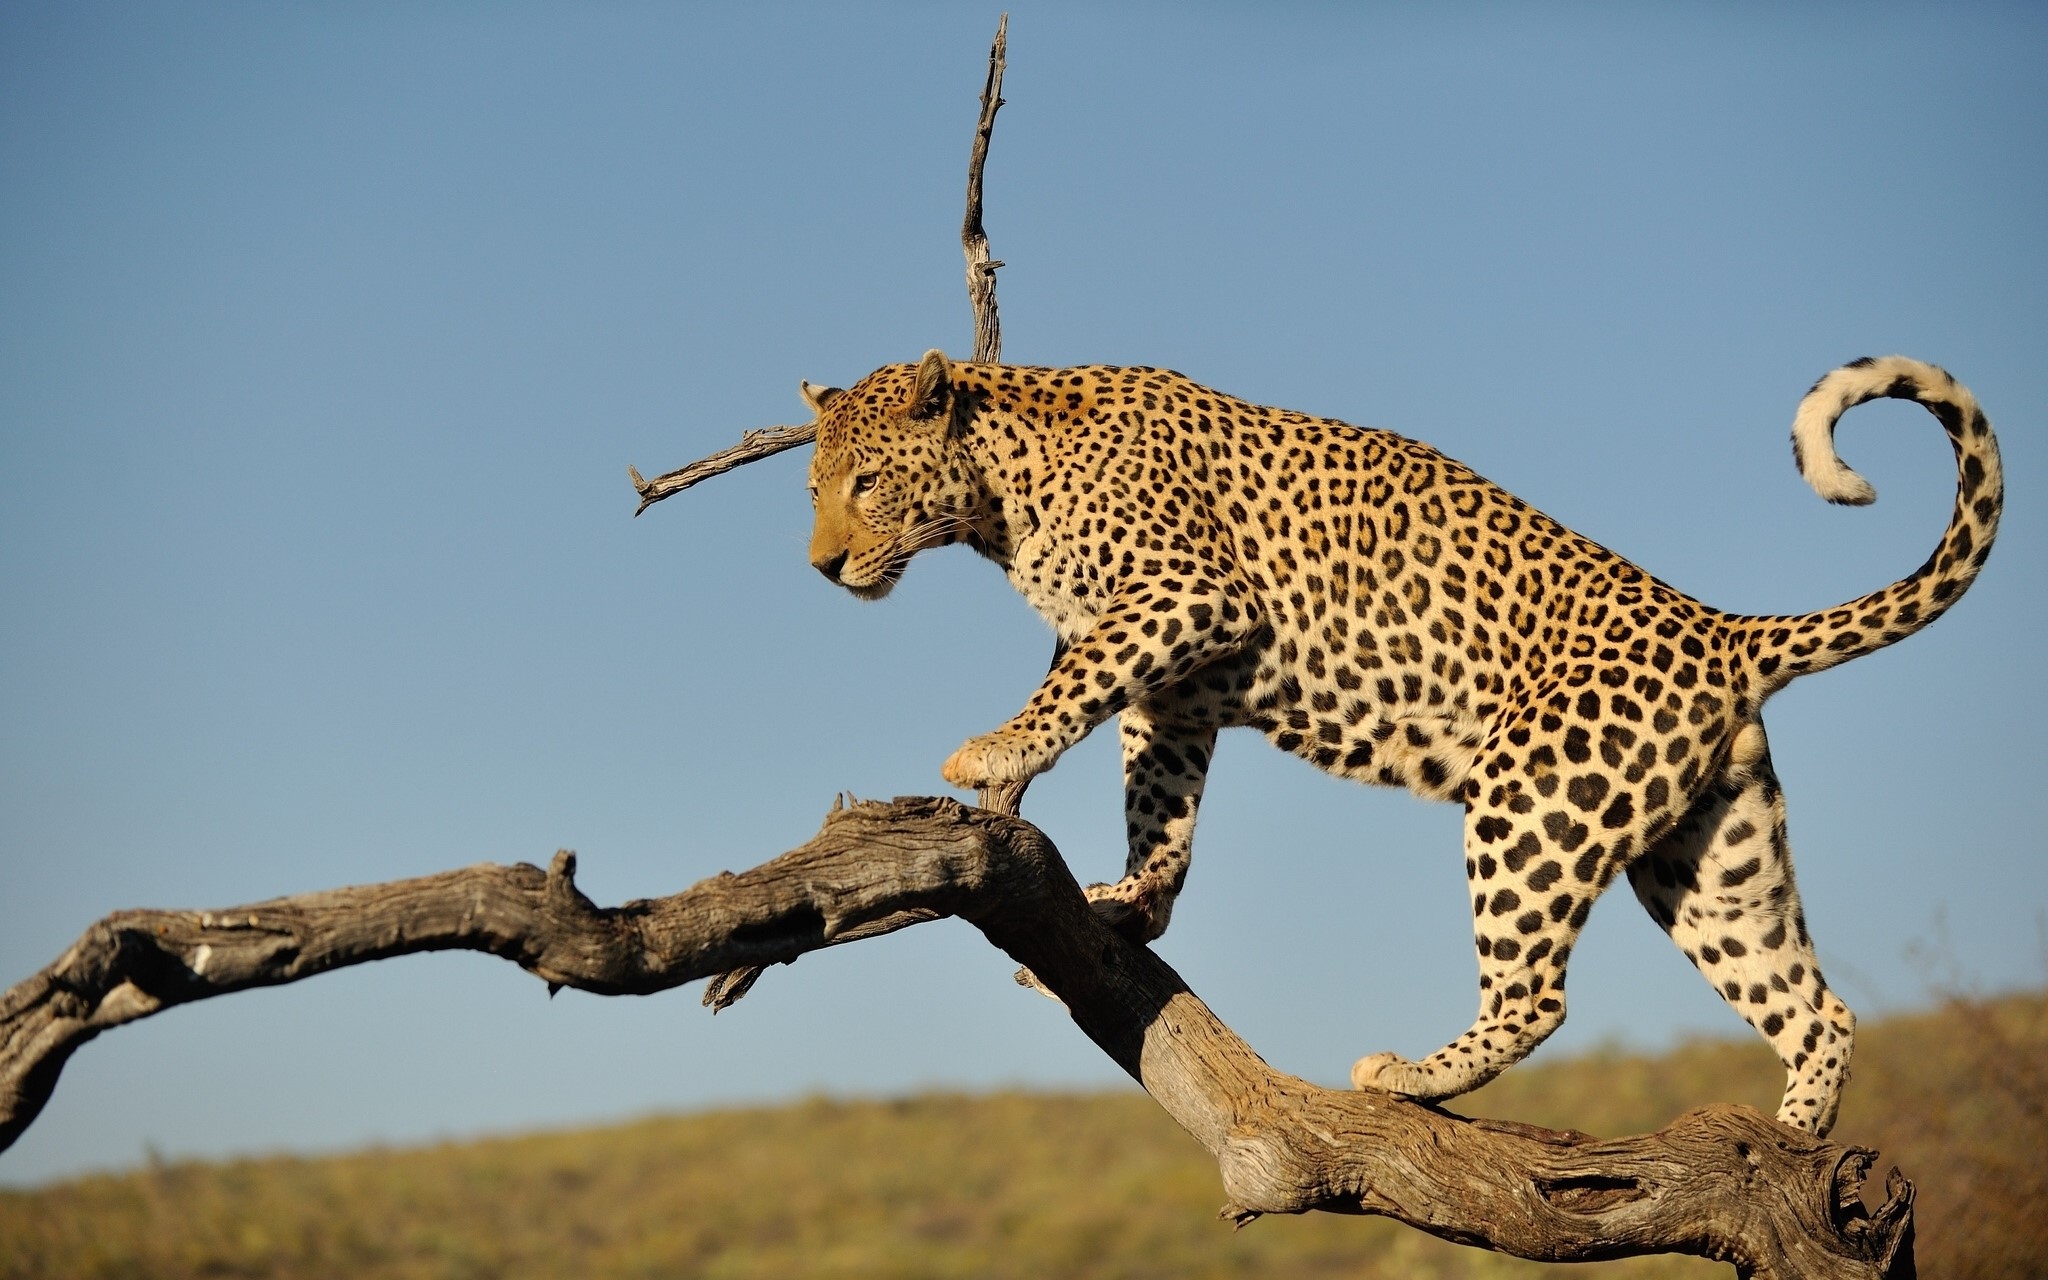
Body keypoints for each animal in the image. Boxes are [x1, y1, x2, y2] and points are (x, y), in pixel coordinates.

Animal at [801, 349, 2001, 1136]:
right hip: (1711, 857)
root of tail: (1722, 628)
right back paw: (1790, 1142)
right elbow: (1160, 803)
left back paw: (1410, 1075)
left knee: (1536, 995)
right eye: (813, 485)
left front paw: (994, 754)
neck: (996, 497)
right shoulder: (1176, 692)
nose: (821, 566)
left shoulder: (1186, 598)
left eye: (865, 480)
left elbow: (1071, 686)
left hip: (1531, 803)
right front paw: (1132, 902)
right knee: (1815, 1005)